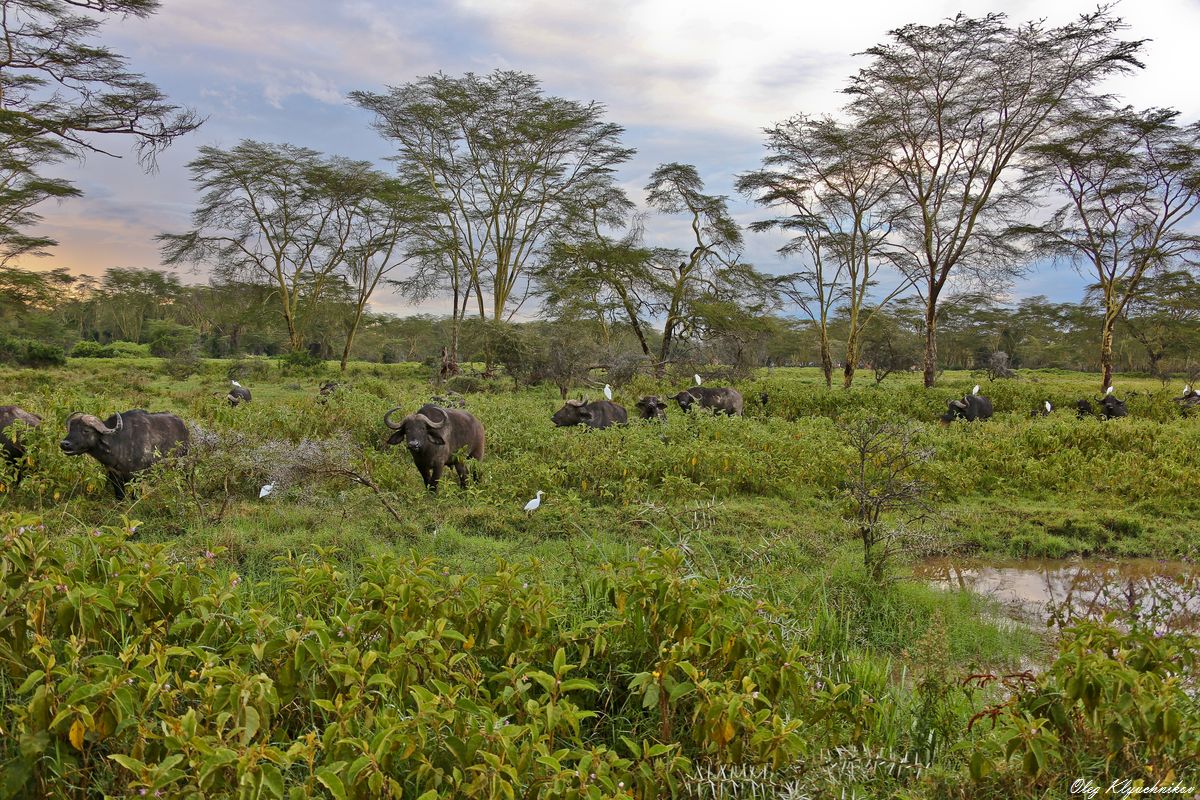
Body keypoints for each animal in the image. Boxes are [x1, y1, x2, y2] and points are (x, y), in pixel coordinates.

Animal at [59, 410, 189, 496]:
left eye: (86, 430)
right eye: (71, 429)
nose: (64, 444)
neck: (119, 443)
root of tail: (184, 427)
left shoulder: (138, 477)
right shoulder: (114, 475)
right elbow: (120, 495)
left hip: (183, 463)